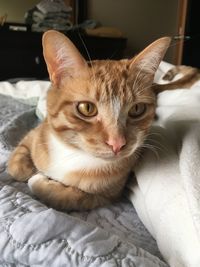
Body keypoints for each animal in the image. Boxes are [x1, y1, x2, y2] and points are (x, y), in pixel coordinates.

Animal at [7, 30, 170, 211]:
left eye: (136, 109)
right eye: (87, 108)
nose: (117, 144)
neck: (73, 153)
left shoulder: (104, 197)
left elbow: (65, 197)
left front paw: (38, 181)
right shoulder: (37, 133)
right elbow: (17, 163)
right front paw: (28, 169)